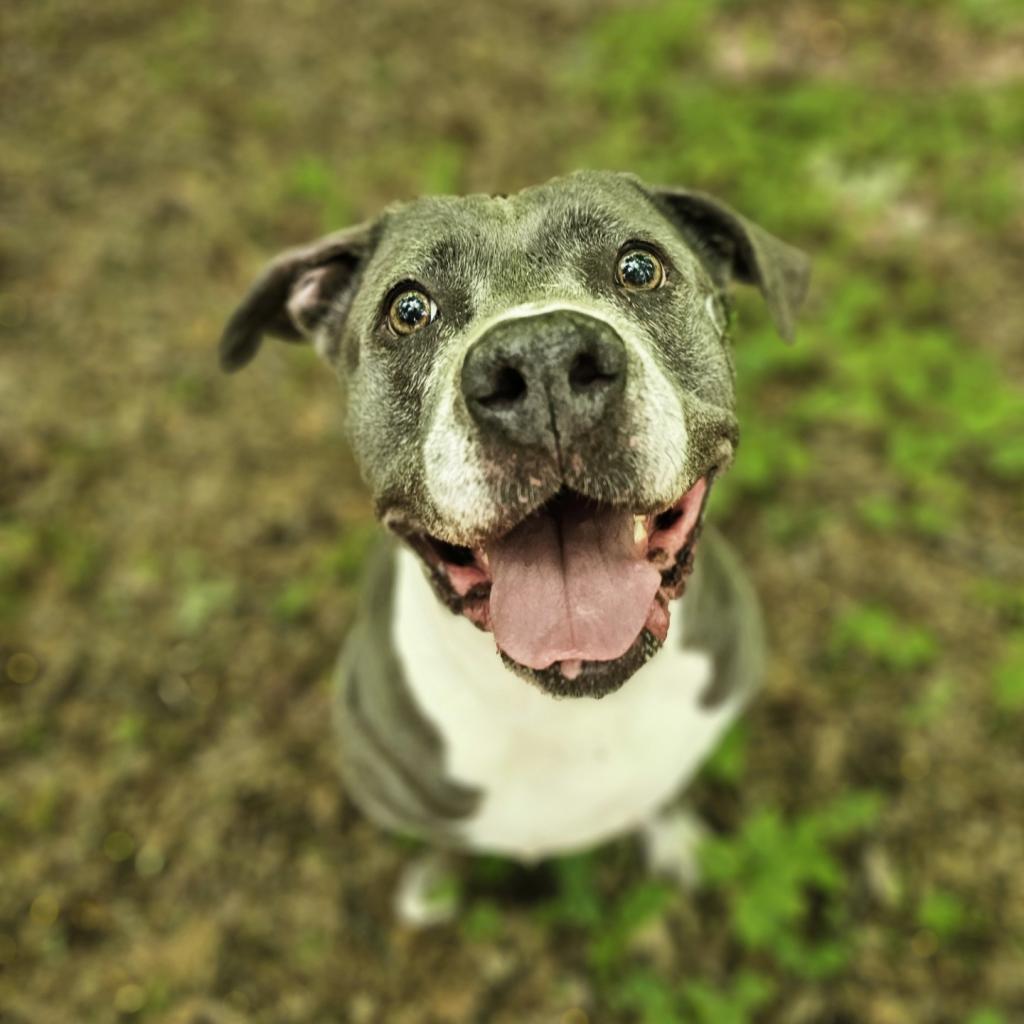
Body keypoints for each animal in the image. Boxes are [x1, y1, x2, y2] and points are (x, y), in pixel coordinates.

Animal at [218, 167, 806, 921]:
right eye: (409, 310)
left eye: (639, 268)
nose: (543, 359)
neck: (570, 710)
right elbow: (445, 841)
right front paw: (435, 885)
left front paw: (676, 842)